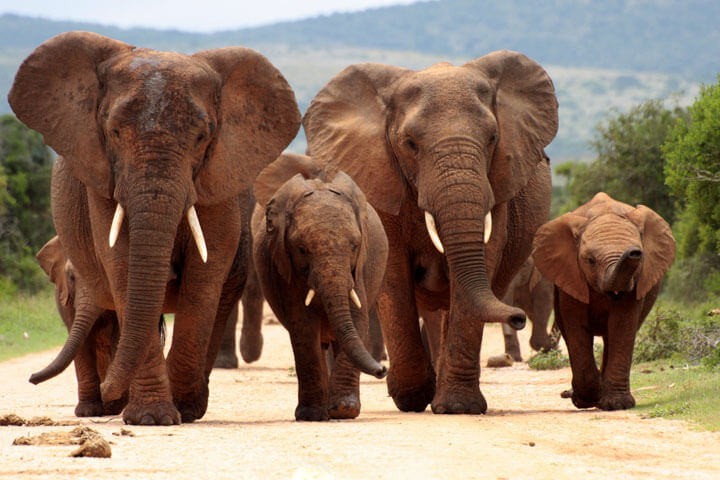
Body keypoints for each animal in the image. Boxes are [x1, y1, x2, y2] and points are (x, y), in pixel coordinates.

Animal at [9, 31, 300, 424]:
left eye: (202, 137)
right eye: (114, 132)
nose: (108, 390)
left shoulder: (217, 179)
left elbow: (204, 276)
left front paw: (180, 409)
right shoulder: (103, 178)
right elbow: (121, 266)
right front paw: (151, 418)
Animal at [252, 152, 388, 421]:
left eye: (355, 246)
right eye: (302, 249)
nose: (382, 370)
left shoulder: (359, 268)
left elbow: (357, 318)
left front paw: (344, 410)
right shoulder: (285, 267)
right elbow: (303, 326)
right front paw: (312, 415)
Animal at [303, 50, 558, 414]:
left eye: (493, 139)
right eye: (410, 143)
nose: (519, 317)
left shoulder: (498, 187)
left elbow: (481, 261)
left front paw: (457, 407)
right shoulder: (379, 178)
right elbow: (393, 273)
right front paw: (411, 397)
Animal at [532, 192, 676, 410]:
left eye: (640, 257)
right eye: (590, 260)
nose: (634, 252)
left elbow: (621, 325)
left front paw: (617, 405)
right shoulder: (571, 276)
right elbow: (576, 327)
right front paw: (585, 400)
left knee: (611, 336)